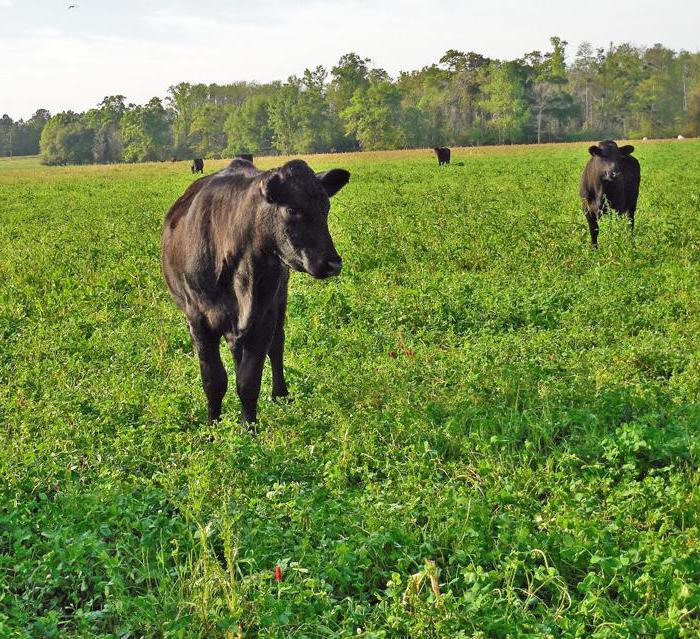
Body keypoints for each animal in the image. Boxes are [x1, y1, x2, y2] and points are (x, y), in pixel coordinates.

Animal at [163, 158, 350, 422]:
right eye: (291, 209)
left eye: (326, 208)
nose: (333, 263)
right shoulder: (198, 319)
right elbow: (213, 380)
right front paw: (212, 426)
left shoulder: (264, 317)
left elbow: (248, 381)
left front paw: (249, 427)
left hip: (280, 299)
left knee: (277, 344)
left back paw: (280, 394)